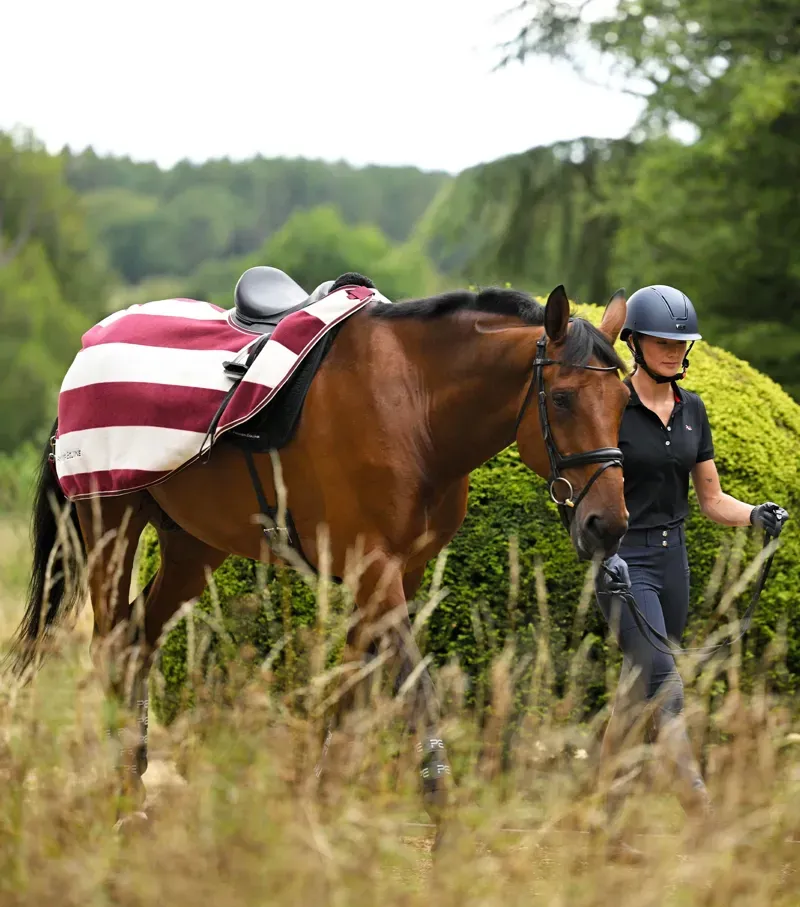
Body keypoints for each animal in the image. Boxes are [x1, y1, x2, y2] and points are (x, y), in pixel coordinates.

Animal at [3, 274, 631, 843]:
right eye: (562, 398)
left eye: (625, 401)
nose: (608, 523)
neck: (413, 404)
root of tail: (91, 349)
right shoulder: (376, 571)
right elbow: (414, 688)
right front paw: (442, 809)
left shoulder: (394, 575)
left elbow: (353, 691)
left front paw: (322, 805)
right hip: (110, 523)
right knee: (112, 645)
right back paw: (119, 798)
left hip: (191, 547)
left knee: (136, 642)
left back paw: (131, 782)